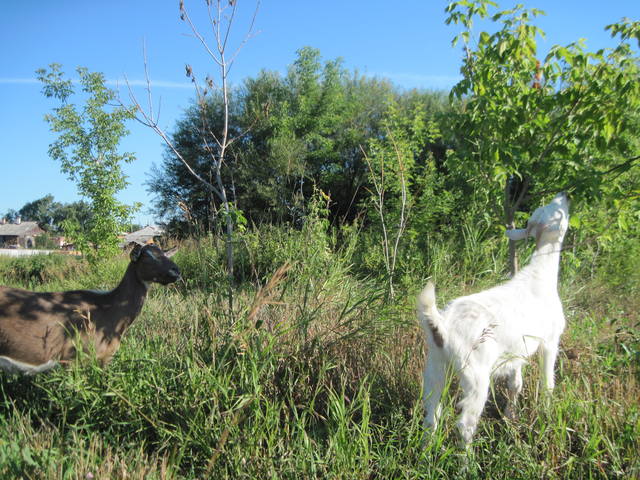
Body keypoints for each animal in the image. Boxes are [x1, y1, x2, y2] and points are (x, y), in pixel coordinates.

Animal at [420, 192, 568, 446]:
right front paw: (547, 413)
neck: (540, 277)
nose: (564, 195)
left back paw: (425, 453)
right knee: (465, 424)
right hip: (475, 373)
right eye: (557, 210)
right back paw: (466, 457)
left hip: (435, 367)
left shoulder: (518, 351)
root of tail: (443, 326)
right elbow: (548, 383)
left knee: (431, 416)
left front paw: (511, 416)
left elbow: (515, 384)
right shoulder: (550, 341)